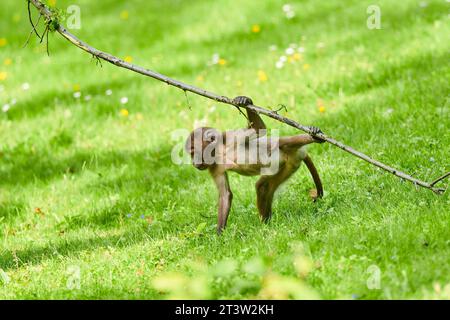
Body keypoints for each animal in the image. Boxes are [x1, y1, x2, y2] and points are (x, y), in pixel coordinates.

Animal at [185, 96, 326, 234]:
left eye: (193, 153)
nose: (193, 162)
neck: (219, 152)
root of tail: (299, 153)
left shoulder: (230, 137)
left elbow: (259, 129)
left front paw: (245, 100)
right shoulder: (214, 167)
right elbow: (225, 195)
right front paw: (220, 235)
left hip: (287, 154)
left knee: (281, 142)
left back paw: (312, 137)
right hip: (289, 166)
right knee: (262, 186)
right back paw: (266, 223)